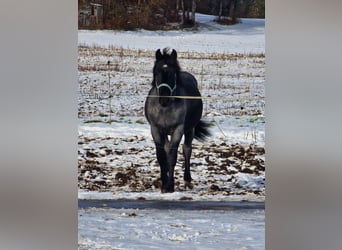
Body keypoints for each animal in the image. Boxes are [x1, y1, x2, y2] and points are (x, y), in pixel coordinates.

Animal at [144, 47, 210, 193]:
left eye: (173, 73)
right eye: (156, 72)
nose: (164, 100)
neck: (164, 110)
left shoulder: (178, 129)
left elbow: (173, 157)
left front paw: (170, 186)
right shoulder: (155, 129)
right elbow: (161, 156)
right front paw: (164, 183)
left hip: (190, 130)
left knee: (187, 150)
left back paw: (187, 180)